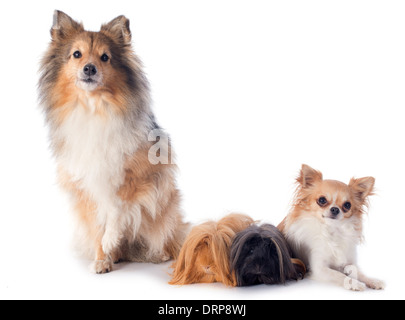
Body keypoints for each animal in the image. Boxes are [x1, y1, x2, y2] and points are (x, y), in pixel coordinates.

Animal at [278, 164, 386, 292]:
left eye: (347, 205)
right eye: (322, 200)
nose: (335, 209)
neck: (332, 231)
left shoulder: (348, 262)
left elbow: (359, 273)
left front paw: (373, 280)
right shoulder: (319, 269)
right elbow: (339, 275)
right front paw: (354, 283)